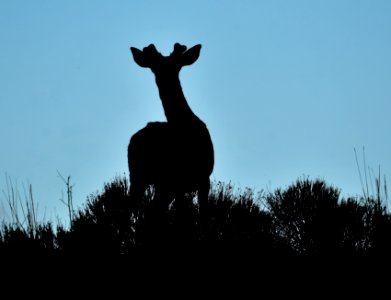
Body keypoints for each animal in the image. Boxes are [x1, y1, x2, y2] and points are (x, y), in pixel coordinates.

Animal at [129, 43, 214, 218]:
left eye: (176, 65)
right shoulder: (177, 181)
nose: (164, 78)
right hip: (139, 175)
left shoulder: (203, 178)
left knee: (151, 209)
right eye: (154, 66)